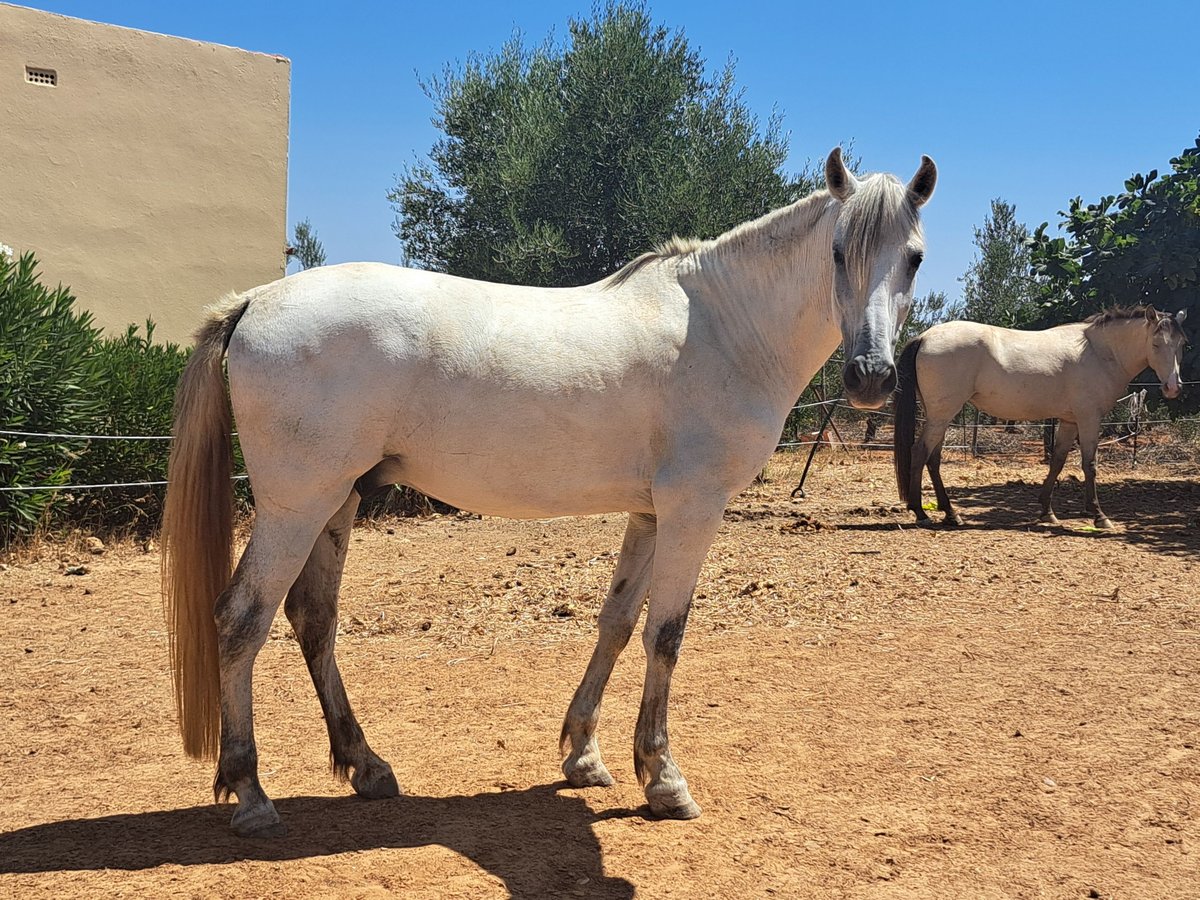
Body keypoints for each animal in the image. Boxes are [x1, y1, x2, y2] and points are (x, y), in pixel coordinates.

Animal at [162, 146, 936, 840]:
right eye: (837, 251)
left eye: (914, 258)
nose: (871, 376)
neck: (724, 328)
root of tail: (256, 300)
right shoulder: (693, 508)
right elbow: (666, 633)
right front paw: (663, 779)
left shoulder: (650, 513)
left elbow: (616, 623)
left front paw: (585, 755)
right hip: (297, 507)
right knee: (241, 620)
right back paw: (251, 793)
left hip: (339, 501)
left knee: (312, 620)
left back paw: (367, 767)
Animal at [897, 309, 1185, 528]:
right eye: (1156, 344)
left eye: (1181, 345)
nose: (1174, 387)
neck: (1099, 352)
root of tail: (924, 337)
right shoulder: (1089, 419)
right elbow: (1090, 465)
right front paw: (1098, 515)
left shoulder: (1069, 421)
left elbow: (1057, 462)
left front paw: (1047, 512)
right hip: (942, 414)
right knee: (920, 452)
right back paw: (921, 513)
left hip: (940, 415)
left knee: (933, 459)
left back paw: (950, 513)